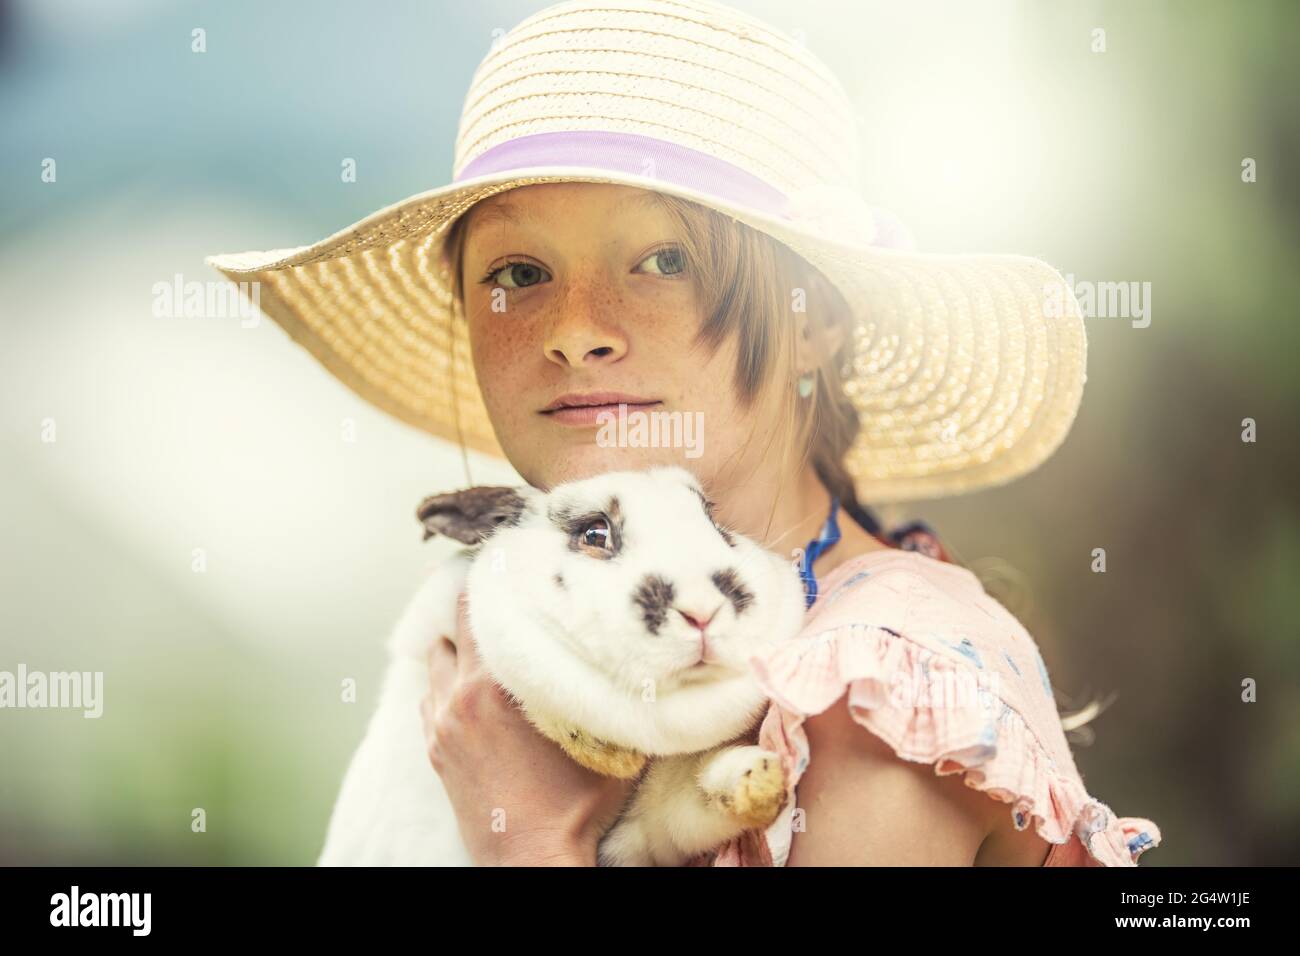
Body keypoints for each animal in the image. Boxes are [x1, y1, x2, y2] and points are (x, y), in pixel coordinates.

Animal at [317, 465, 808, 867]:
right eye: (594, 534)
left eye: (715, 524)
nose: (703, 610)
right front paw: (606, 752)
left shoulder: (641, 837)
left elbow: (693, 797)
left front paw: (760, 779)